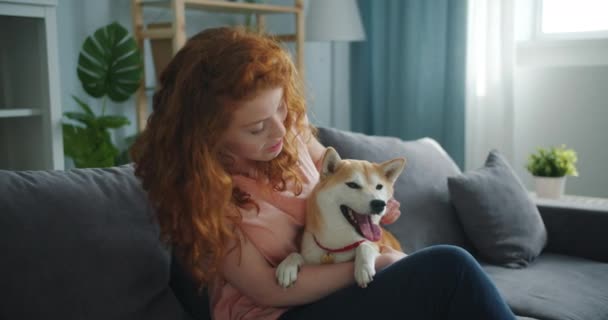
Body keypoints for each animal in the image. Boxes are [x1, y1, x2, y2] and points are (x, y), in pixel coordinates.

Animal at [278, 148, 406, 288]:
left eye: (379, 187)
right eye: (353, 185)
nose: (379, 203)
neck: (337, 245)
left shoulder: (377, 245)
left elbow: (365, 245)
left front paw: (363, 267)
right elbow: (295, 254)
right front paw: (287, 265)